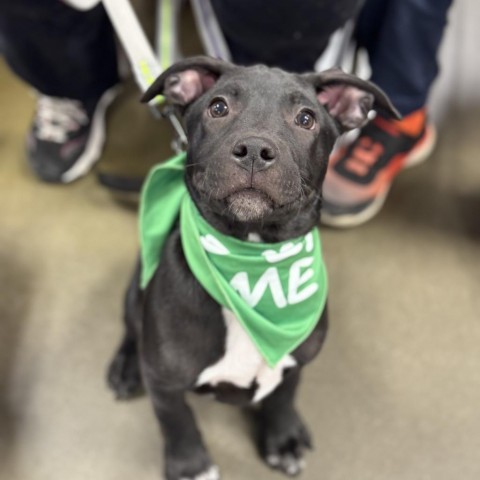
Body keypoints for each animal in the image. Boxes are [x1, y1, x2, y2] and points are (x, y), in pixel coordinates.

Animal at [109, 56, 398, 480]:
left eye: (306, 118)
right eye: (218, 107)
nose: (255, 150)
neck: (252, 257)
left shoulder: (295, 360)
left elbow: (283, 396)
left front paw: (283, 438)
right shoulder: (164, 380)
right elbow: (176, 419)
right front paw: (190, 464)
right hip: (135, 289)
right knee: (131, 327)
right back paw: (125, 367)